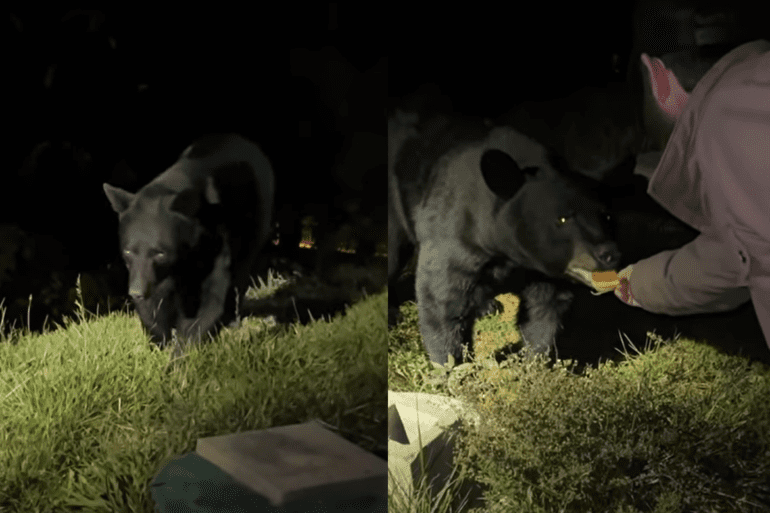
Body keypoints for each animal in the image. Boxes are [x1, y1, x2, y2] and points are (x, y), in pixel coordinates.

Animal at [103, 133, 274, 346]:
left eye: (160, 252)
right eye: (127, 251)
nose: (136, 291)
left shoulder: (219, 241)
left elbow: (212, 298)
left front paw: (183, 349)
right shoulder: (152, 272)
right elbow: (155, 302)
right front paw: (159, 340)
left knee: (242, 268)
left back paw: (232, 318)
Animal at [388, 111, 621, 365]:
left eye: (607, 216)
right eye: (562, 219)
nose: (609, 254)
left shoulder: (543, 267)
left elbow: (545, 308)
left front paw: (532, 359)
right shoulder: (454, 231)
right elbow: (442, 296)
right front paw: (453, 363)